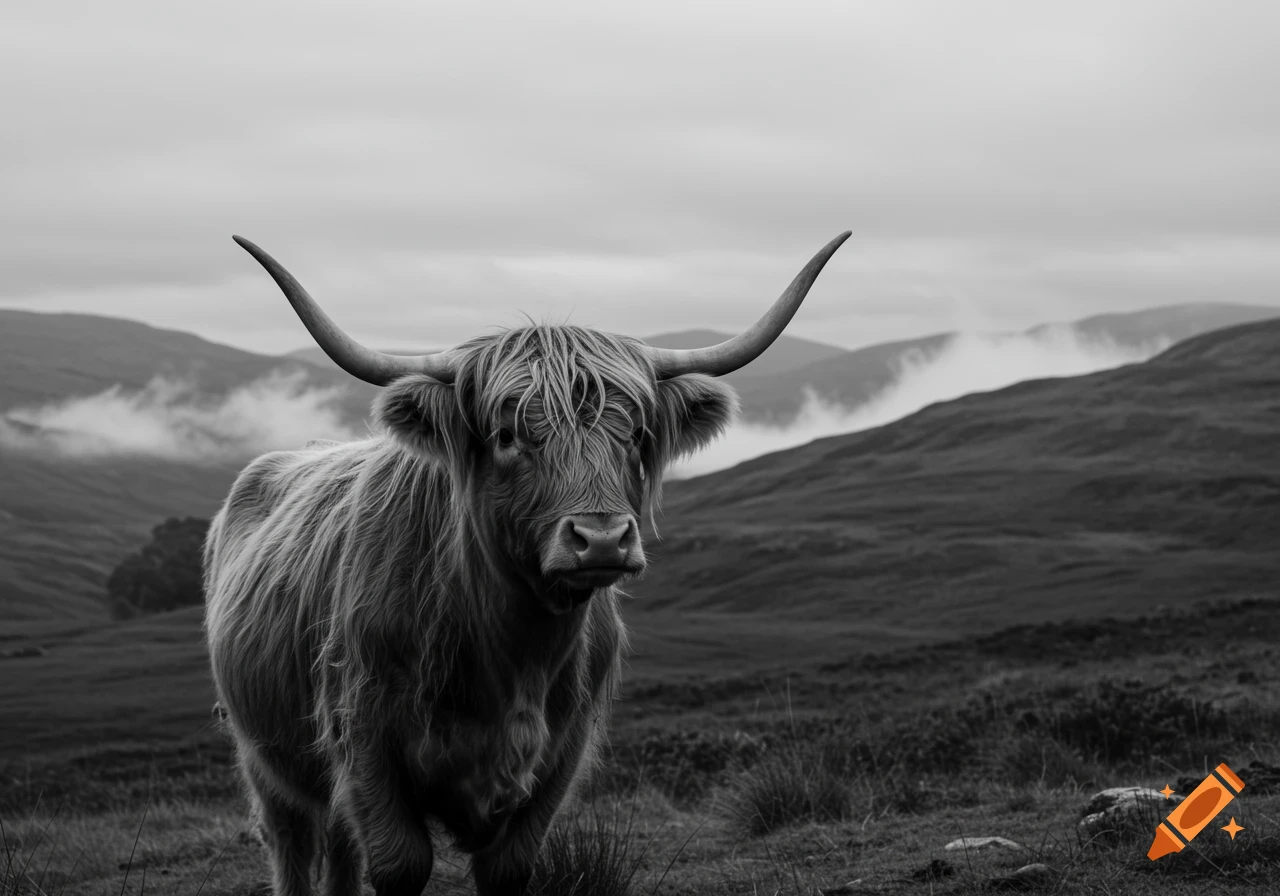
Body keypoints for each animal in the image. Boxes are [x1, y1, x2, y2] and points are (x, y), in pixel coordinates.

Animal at [203, 230, 850, 896]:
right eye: (508, 434)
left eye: (635, 433)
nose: (601, 538)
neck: (511, 652)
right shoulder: (364, 742)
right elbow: (399, 862)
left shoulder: (559, 756)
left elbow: (510, 867)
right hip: (263, 756)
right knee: (292, 840)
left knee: (337, 847)